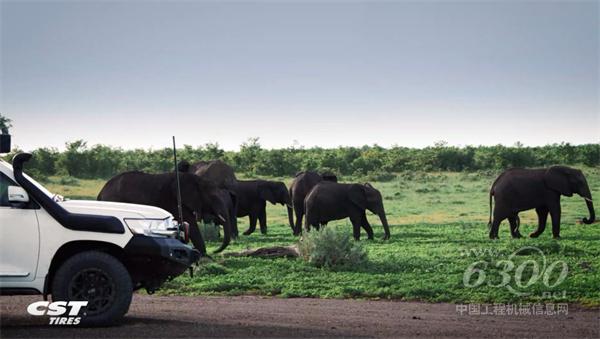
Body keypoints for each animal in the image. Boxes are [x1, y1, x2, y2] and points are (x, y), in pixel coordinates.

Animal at [97, 171, 231, 256]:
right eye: (213, 196)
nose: (215, 251)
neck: (196, 179)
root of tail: (101, 192)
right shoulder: (176, 201)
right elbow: (191, 223)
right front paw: (204, 256)